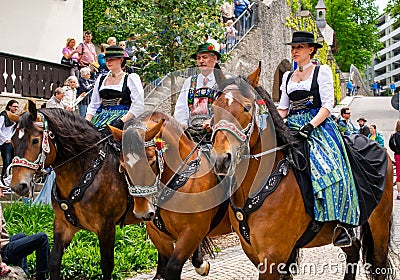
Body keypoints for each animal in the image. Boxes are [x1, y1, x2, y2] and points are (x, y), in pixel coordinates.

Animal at [7, 100, 142, 280]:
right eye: (13, 141)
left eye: (35, 140)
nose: (18, 185)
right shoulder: (63, 225)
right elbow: (54, 261)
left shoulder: (106, 227)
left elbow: (107, 265)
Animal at [111, 111, 233, 280]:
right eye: (123, 166)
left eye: (152, 162)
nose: (143, 213)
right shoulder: (158, 236)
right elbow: (162, 269)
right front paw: (200, 263)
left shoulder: (192, 232)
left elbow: (172, 267)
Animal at [209, 66, 394, 278]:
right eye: (214, 108)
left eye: (247, 108)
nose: (221, 160)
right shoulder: (256, 253)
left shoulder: (273, 255)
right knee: (353, 250)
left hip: (379, 223)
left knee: (378, 264)